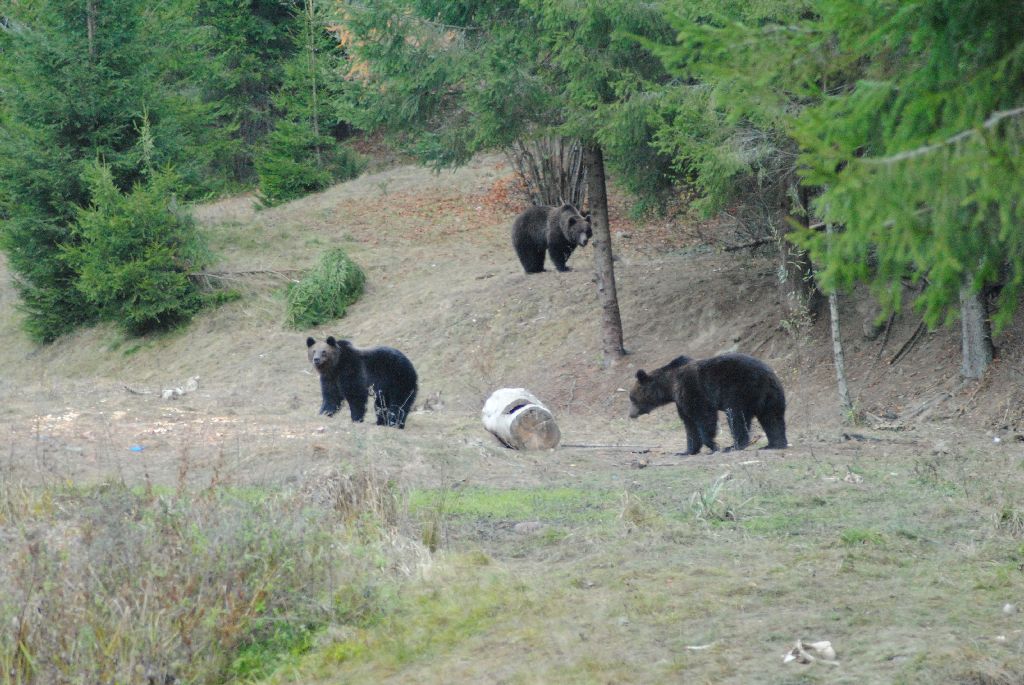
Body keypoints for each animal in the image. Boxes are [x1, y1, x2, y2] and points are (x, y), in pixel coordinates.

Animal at [626, 352, 786, 454]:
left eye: (632, 398)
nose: (631, 414)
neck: (670, 386)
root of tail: (767, 375)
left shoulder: (693, 390)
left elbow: (704, 417)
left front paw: (714, 445)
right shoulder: (681, 401)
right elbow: (689, 424)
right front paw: (687, 451)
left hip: (740, 391)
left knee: (736, 417)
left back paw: (733, 446)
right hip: (771, 396)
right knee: (772, 418)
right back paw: (774, 444)